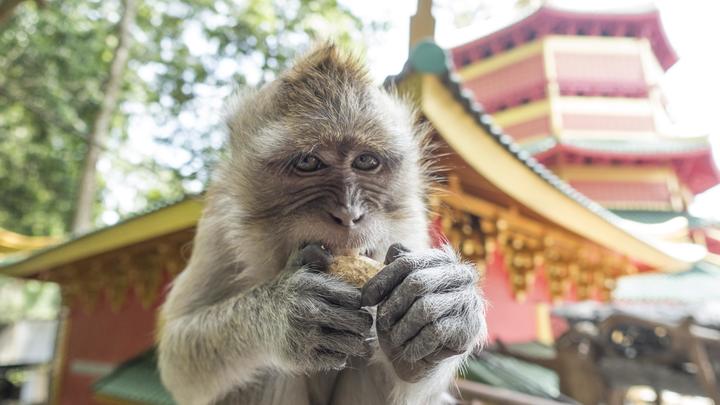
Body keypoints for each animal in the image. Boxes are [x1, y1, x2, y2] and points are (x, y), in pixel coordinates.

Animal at [157, 42, 484, 402]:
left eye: (365, 161)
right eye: (308, 162)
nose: (349, 214)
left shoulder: (410, 221)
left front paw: (446, 305)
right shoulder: (218, 225)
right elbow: (178, 362)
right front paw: (285, 313)